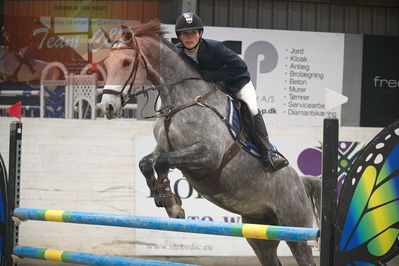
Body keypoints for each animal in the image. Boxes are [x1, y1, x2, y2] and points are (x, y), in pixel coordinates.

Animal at [100, 20, 322, 266]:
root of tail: (302, 182)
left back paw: (273, 159)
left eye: (127, 62)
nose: (107, 107)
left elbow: (163, 162)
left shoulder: (209, 155)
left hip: (295, 229)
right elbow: (147, 163)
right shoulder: (166, 148)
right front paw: (166, 199)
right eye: (107, 63)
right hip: (259, 232)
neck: (177, 100)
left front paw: (172, 205)